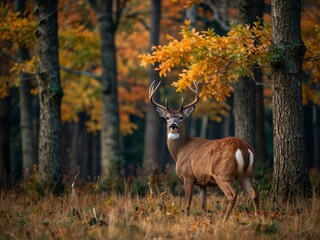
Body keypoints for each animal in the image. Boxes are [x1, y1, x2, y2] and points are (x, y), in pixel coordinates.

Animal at [150, 80, 260, 221]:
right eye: (167, 118)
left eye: (181, 117)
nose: (173, 126)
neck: (180, 150)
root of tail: (242, 147)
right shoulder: (202, 182)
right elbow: (203, 206)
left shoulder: (188, 175)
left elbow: (187, 203)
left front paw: (186, 219)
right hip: (247, 173)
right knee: (254, 193)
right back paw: (258, 217)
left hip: (222, 174)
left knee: (233, 194)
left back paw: (224, 220)